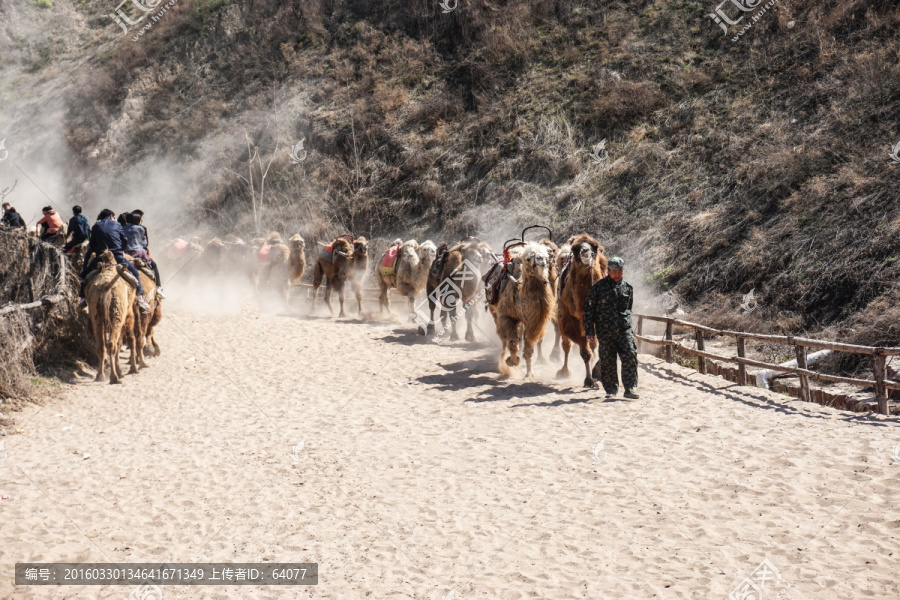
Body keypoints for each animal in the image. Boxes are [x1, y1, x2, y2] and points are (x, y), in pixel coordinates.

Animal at [85, 250, 138, 382]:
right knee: (113, 344)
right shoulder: (127, 318)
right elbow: (123, 342)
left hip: (97, 317)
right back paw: (115, 377)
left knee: (102, 345)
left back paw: (100, 375)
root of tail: (106, 289)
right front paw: (122, 371)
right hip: (117, 317)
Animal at [488, 243, 560, 376]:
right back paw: (502, 358)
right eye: (528, 259)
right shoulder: (507, 315)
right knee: (503, 337)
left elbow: (529, 347)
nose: (541, 260)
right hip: (494, 311)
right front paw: (511, 361)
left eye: (547, 258)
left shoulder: (533, 322)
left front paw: (529, 373)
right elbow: (512, 341)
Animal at [552, 232, 608, 386]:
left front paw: (598, 372)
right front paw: (589, 380)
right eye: (575, 248)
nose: (585, 252)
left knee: (593, 344)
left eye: (595, 247)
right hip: (562, 317)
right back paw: (563, 371)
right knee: (566, 345)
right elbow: (584, 351)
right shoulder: (572, 320)